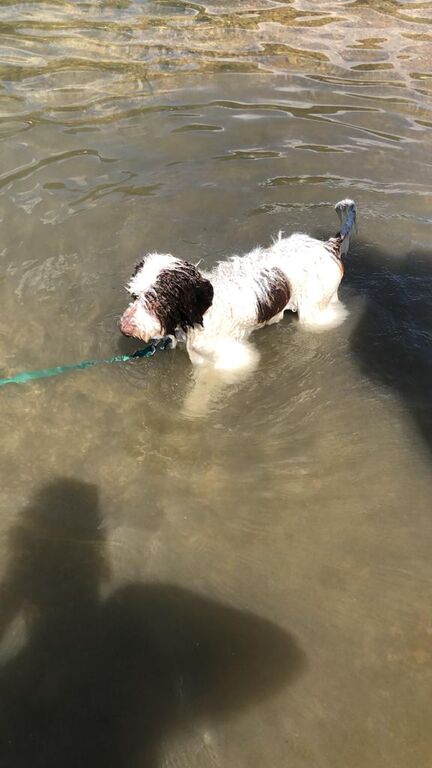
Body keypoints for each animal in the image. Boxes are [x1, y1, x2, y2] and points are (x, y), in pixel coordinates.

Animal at [120, 200, 356, 370]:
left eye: (157, 300)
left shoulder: (234, 358)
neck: (201, 314)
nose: (124, 328)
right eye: (135, 296)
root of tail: (328, 245)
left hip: (316, 311)